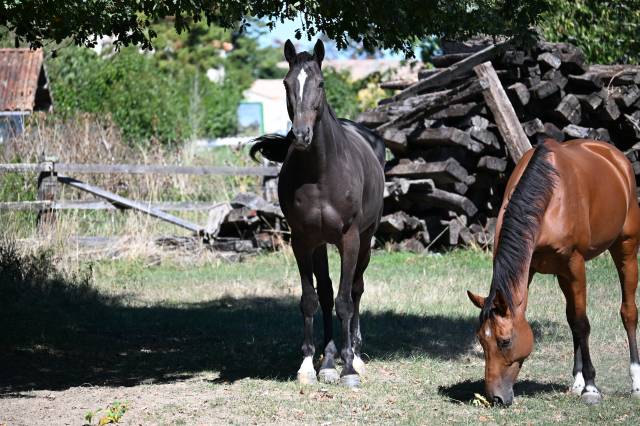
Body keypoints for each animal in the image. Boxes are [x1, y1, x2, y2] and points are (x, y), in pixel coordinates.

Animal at [250, 39, 385, 387]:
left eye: (320, 84)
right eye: (286, 83)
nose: (301, 135)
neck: (321, 173)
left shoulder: (350, 239)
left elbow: (345, 301)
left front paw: (349, 369)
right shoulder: (303, 240)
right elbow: (311, 299)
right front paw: (309, 366)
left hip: (366, 240)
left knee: (356, 289)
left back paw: (356, 355)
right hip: (321, 244)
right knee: (325, 294)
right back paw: (328, 361)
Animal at [467, 138, 640, 406]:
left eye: (504, 341)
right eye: (481, 340)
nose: (495, 398)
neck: (549, 199)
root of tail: (616, 157)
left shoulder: (575, 265)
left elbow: (582, 323)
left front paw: (591, 387)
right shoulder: (536, 269)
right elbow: (574, 321)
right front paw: (581, 382)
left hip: (626, 249)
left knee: (628, 312)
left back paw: (635, 382)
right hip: (563, 276)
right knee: (572, 318)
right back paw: (577, 381)